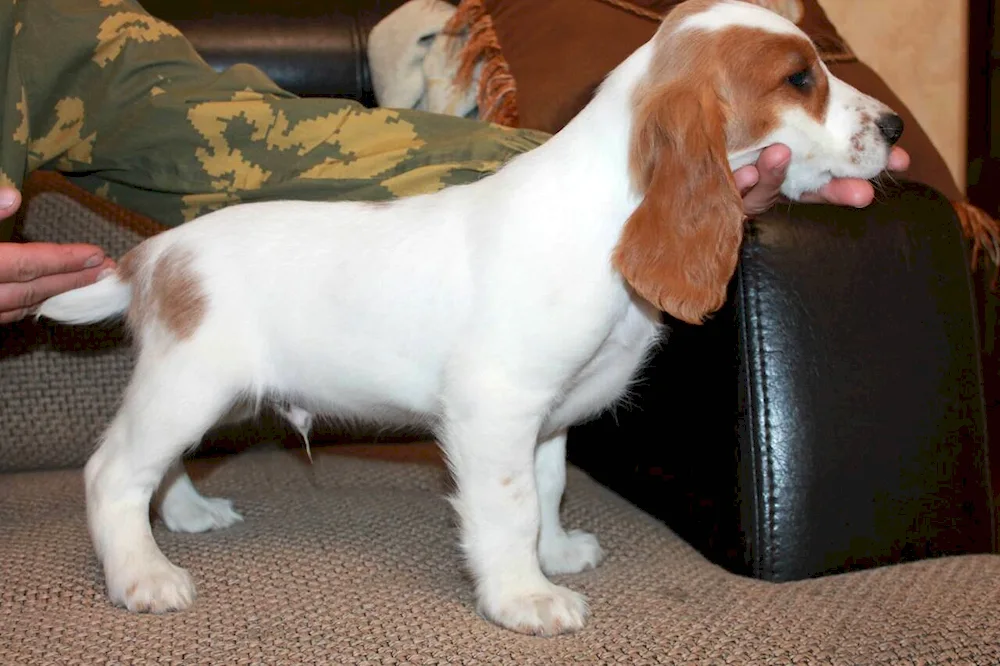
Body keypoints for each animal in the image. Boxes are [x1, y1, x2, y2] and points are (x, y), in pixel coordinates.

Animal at [39, 0, 900, 632]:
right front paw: (525, 596)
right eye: (800, 78)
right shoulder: (497, 408)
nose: (894, 127)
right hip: (188, 384)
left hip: (205, 393)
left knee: (160, 467)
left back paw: (186, 514)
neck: (604, 214)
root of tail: (154, 254)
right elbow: (510, 509)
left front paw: (556, 554)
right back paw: (143, 574)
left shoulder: (547, 417)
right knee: (114, 472)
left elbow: (548, 489)